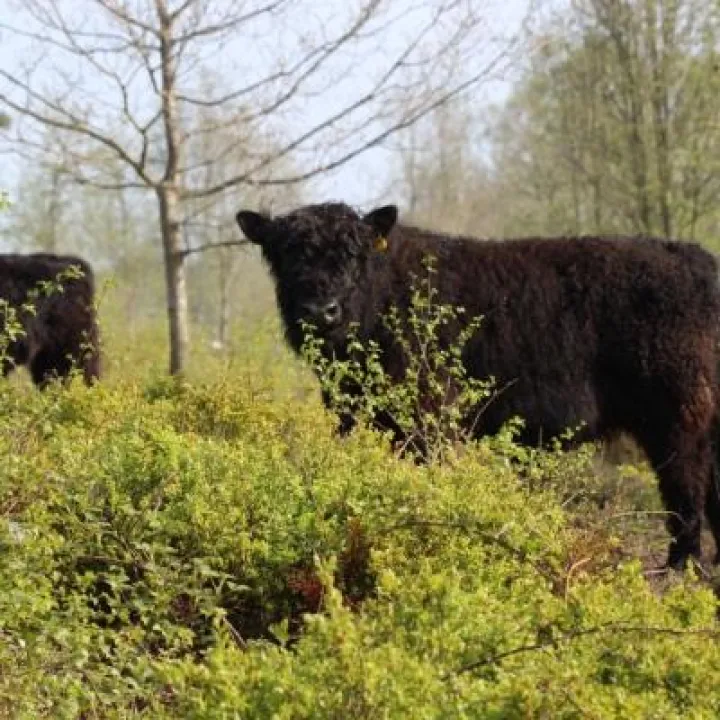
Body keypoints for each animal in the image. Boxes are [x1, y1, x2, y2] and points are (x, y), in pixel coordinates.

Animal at [236, 202, 720, 570]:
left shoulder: (428, 419)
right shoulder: (355, 416)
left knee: (686, 492)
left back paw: (681, 567)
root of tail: (696, 258)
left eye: (354, 255)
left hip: (678, 419)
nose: (321, 310)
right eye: (285, 255)